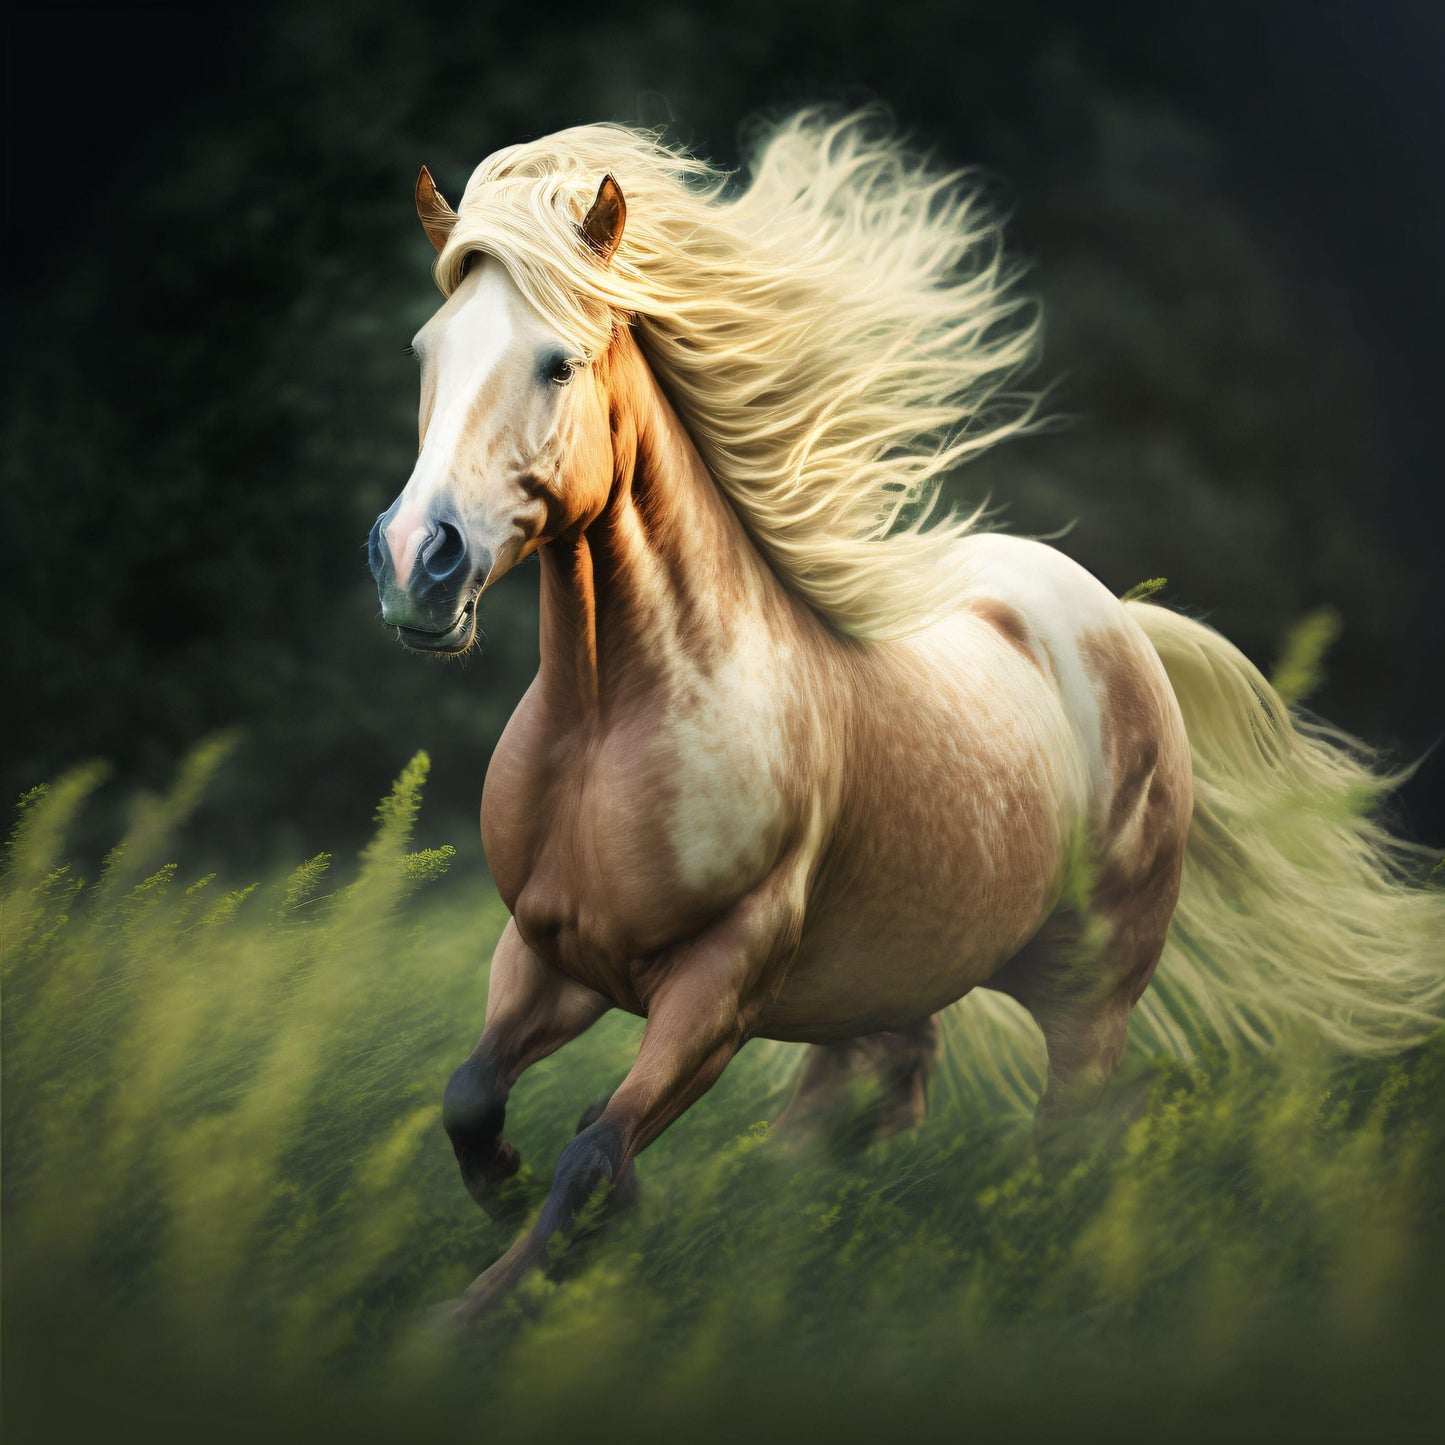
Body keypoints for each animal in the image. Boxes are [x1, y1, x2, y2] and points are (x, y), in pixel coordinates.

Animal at [366, 112, 1445, 1320]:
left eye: (557, 360)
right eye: (426, 352)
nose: (415, 563)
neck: (612, 721)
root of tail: (1114, 619)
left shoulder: (720, 980)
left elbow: (591, 1154)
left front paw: (474, 1316)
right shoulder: (548, 949)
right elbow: (472, 1098)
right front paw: (523, 1225)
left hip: (1089, 986)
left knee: (1068, 1128)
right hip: (889, 973)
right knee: (874, 1091)